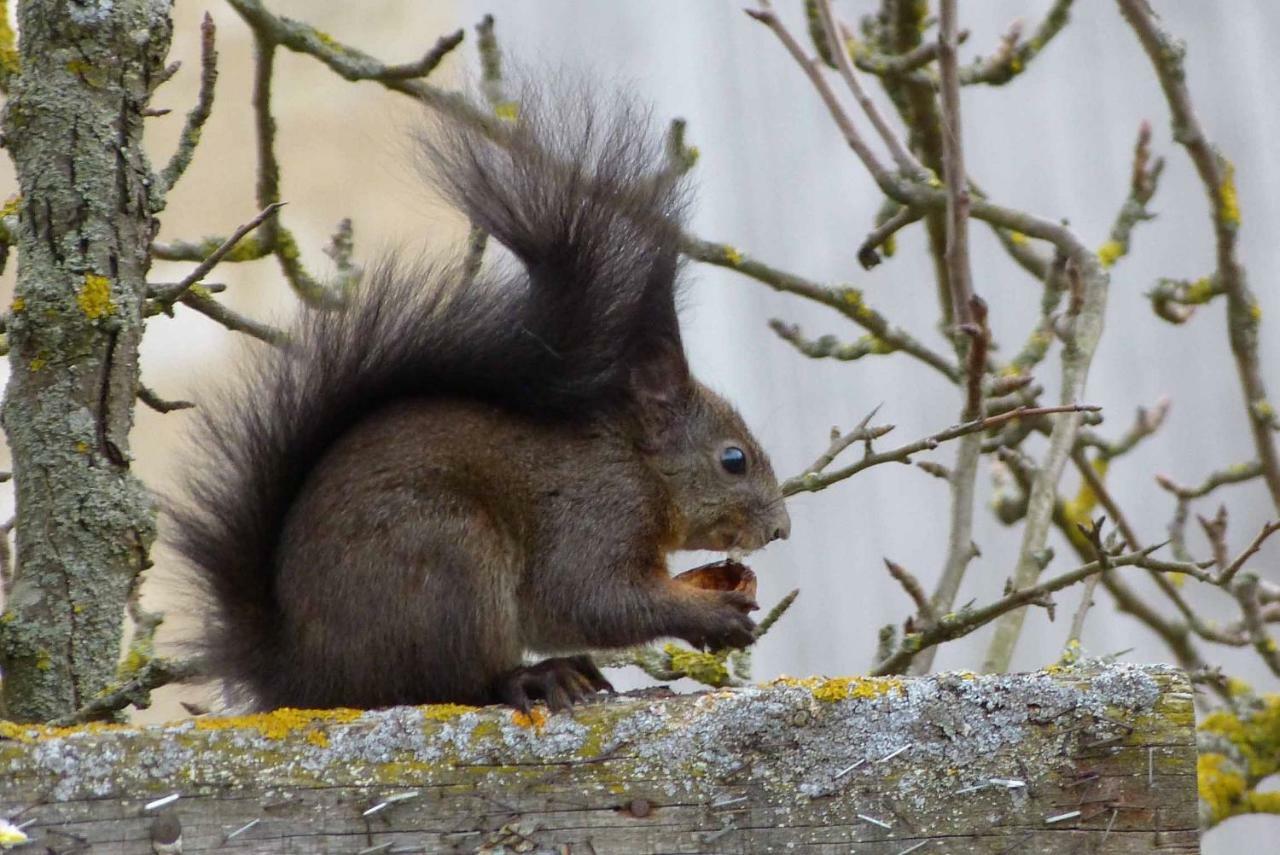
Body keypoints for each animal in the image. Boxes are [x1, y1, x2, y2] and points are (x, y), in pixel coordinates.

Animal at [170, 90, 788, 711]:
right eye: (733, 460)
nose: (781, 530)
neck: (636, 463)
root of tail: (303, 678)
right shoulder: (594, 516)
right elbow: (591, 599)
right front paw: (710, 614)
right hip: (450, 559)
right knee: (454, 683)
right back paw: (533, 677)